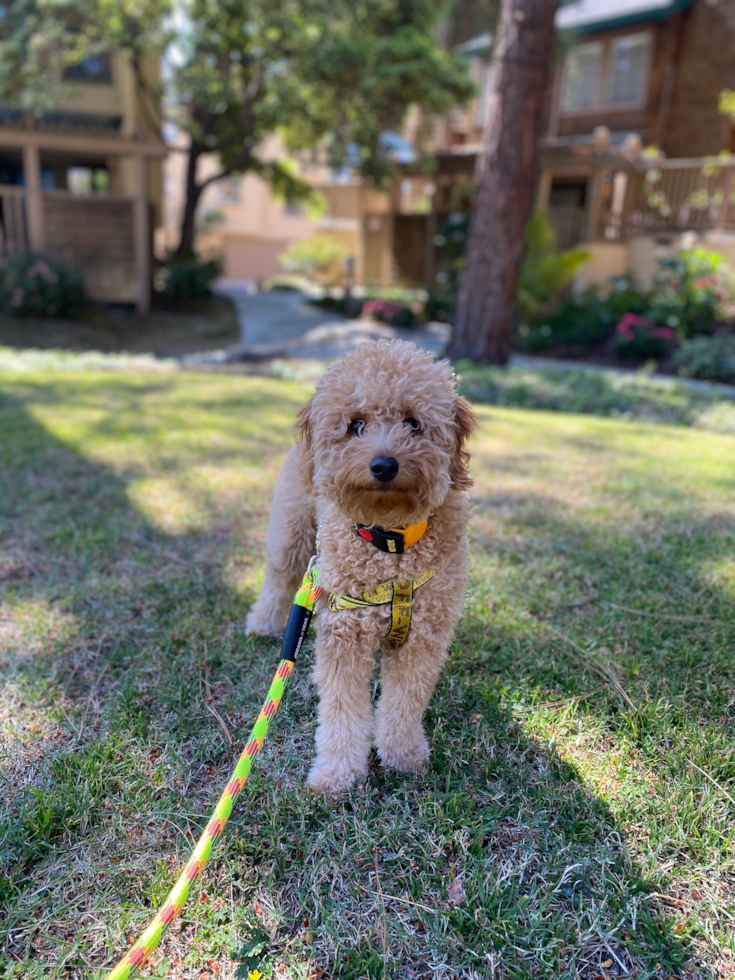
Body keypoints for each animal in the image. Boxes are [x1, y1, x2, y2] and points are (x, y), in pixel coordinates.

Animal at [247, 340, 478, 792]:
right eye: (355, 424)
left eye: (413, 422)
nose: (384, 465)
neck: (391, 544)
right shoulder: (344, 633)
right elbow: (342, 710)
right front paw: (336, 774)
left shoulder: (423, 637)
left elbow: (405, 702)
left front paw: (403, 756)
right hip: (292, 532)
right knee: (279, 578)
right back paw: (264, 623)